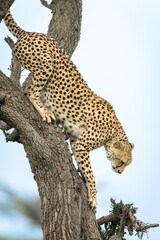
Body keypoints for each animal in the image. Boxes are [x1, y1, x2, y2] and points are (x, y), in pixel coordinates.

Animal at [4, 10, 134, 210]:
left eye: (126, 164)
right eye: (121, 162)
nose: (119, 171)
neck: (113, 132)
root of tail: (32, 33)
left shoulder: (75, 140)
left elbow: (84, 167)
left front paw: (85, 183)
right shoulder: (81, 144)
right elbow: (91, 173)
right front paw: (93, 196)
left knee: (28, 88)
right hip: (45, 63)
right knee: (32, 91)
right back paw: (45, 111)